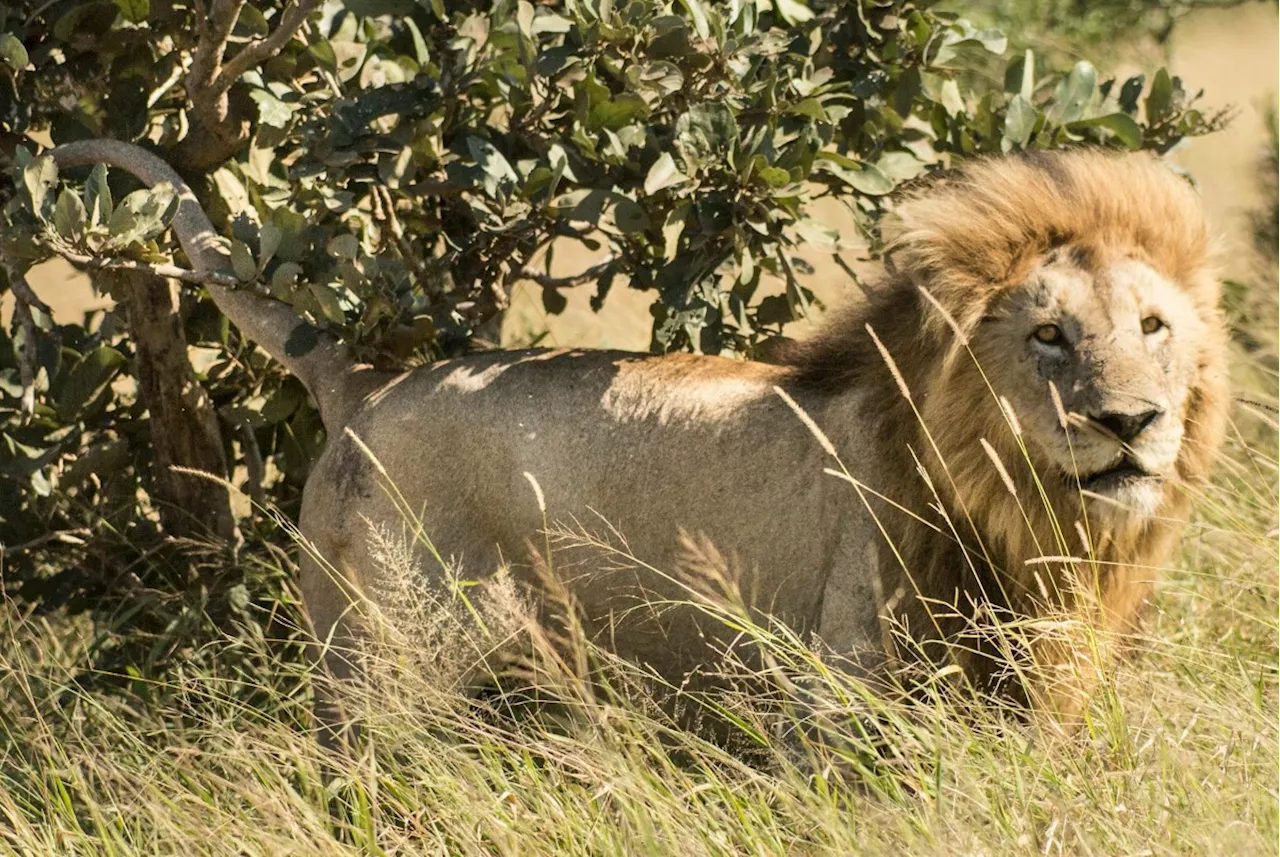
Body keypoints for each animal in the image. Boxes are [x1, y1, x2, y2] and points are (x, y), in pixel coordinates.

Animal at [49, 142, 1228, 731]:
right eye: (1047, 335)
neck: (1026, 517)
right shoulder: (834, 699)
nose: (1130, 420)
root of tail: (367, 383)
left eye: (1152, 327)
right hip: (385, 665)